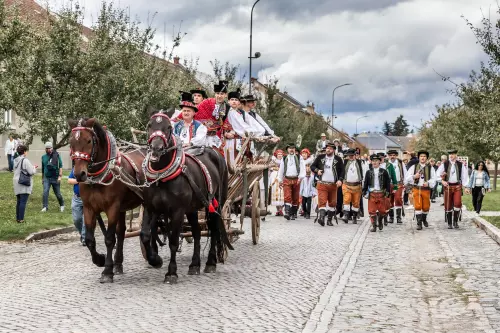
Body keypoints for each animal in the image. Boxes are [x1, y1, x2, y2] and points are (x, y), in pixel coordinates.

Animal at [67, 118, 145, 282]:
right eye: (71, 142)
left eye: (89, 140)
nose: (79, 174)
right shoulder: (89, 208)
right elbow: (90, 240)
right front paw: (100, 260)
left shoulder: (112, 208)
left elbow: (109, 239)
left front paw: (107, 270)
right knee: (121, 232)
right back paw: (118, 263)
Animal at [142, 110, 233, 282]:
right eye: (149, 125)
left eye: (168, 127)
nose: (156, 148)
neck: (162, 178)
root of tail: (215, 153)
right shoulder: (151, 208)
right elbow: (145, 235)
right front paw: (155, 260)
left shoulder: (177, 211)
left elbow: (173, 241)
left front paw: (171, 272)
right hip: (192, 208)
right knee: (197, 231)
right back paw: (194, 265)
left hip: (216, 204)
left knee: (214, 229)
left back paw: (210, 263)